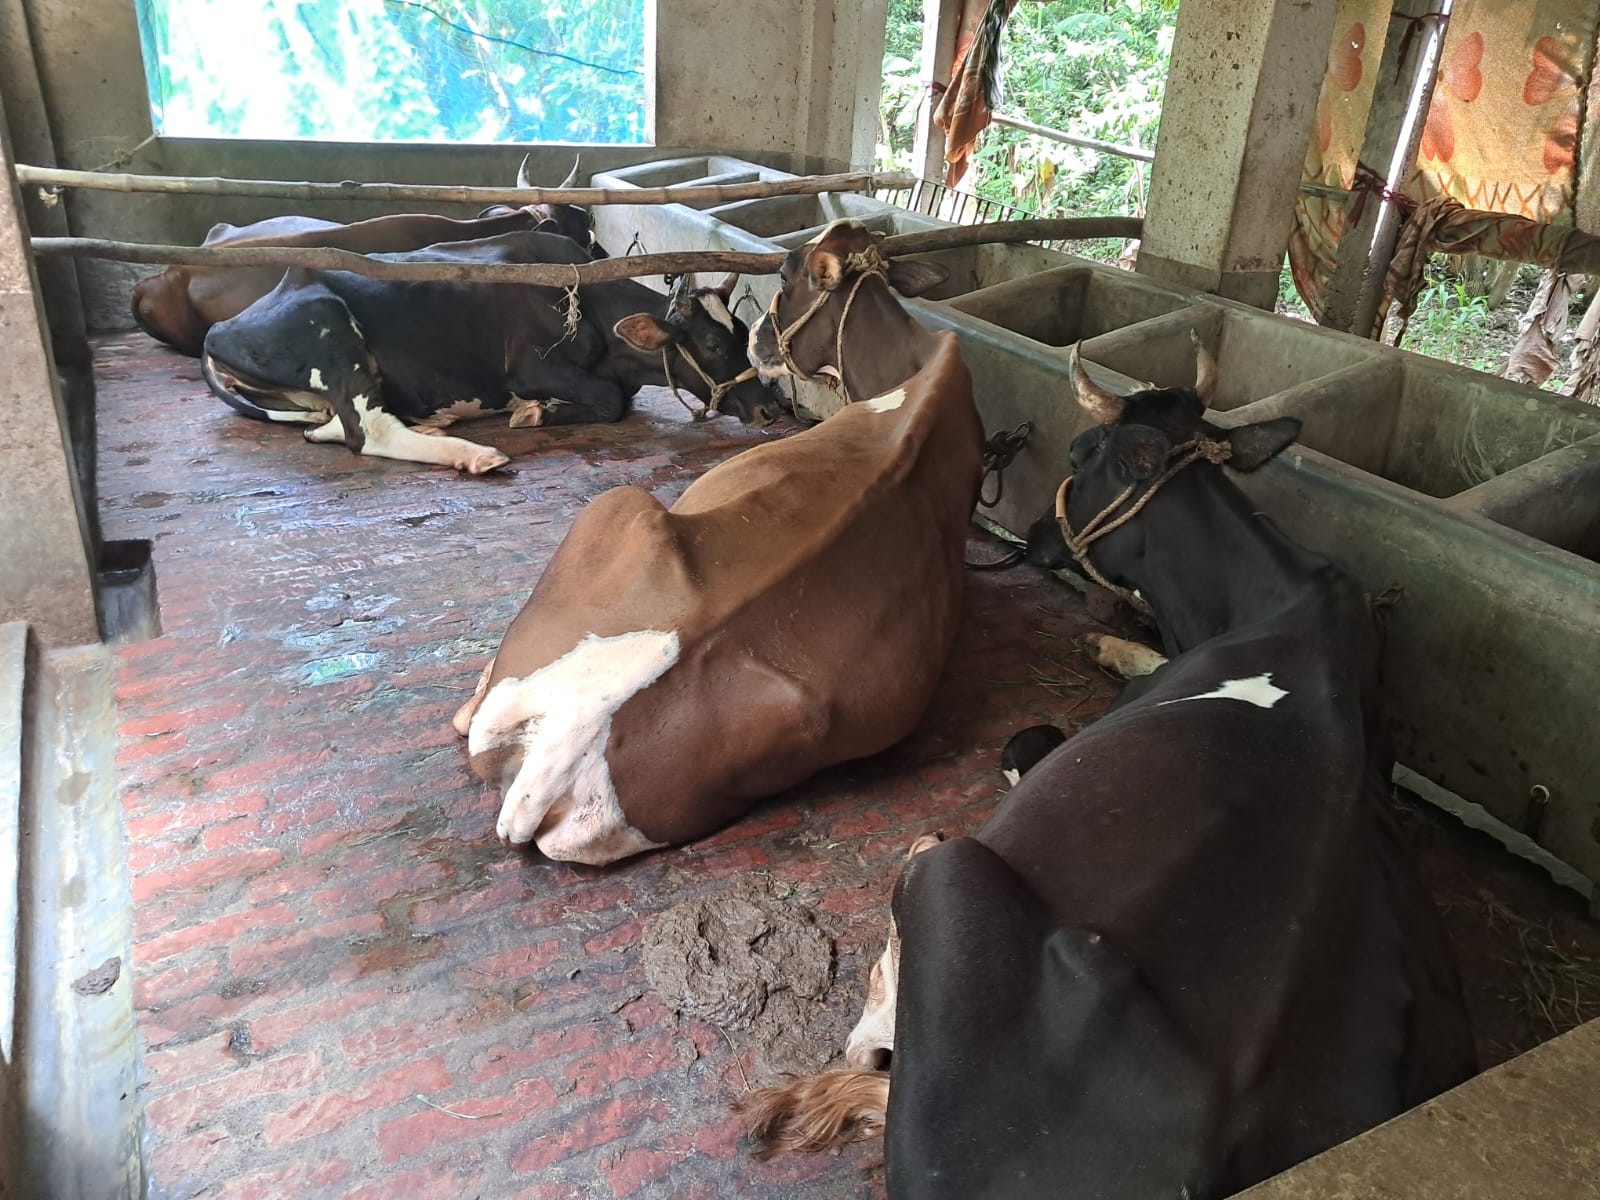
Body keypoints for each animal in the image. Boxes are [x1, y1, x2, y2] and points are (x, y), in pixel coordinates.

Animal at [199, 232, 780, 473]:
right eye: (711, 343)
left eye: (742, 332)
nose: (770, 408)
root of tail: (223, 328)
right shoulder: (529, 365)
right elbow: (612, 401)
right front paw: (534, 413)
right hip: (331, 328)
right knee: (369, 431)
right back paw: (475, 454)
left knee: (331, 427)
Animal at [739, 342, 1477, 1200]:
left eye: (1081, 452)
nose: (1032, 533)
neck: (1264, 597)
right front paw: (1109, 641)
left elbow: (1024, 745)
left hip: (957, 882)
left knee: (914, 914)